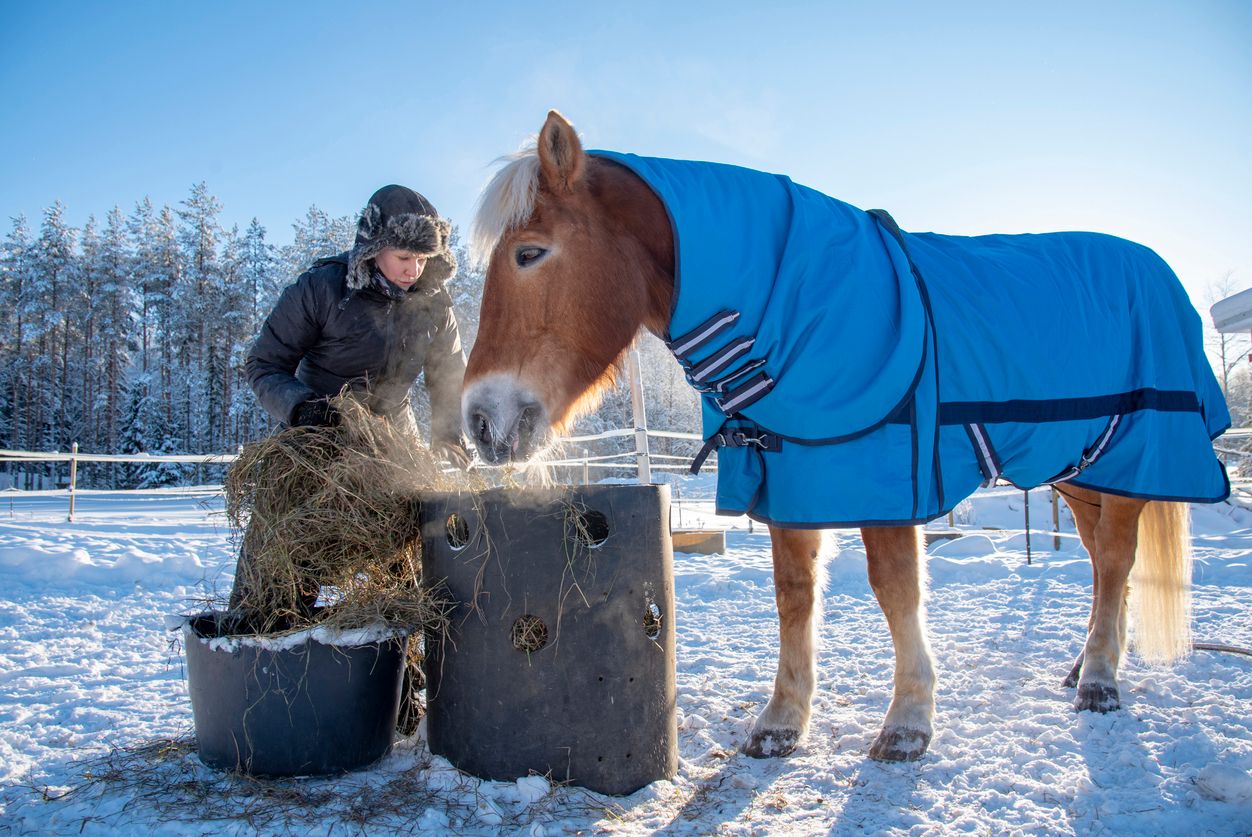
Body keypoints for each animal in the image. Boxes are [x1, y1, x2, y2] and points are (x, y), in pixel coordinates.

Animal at [460, 110, 1230, 762]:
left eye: (530, 253)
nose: (477, 420)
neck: (795, 312)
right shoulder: (792, 478)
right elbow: (794, 594)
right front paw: (782, 721)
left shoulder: (884, 476)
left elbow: (896, 591)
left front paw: (909, 721)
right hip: (1080, 468)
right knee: (1102, 559)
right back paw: (1086, 666)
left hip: (1133, 456)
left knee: (1117, 559)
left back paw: (1099, 679)